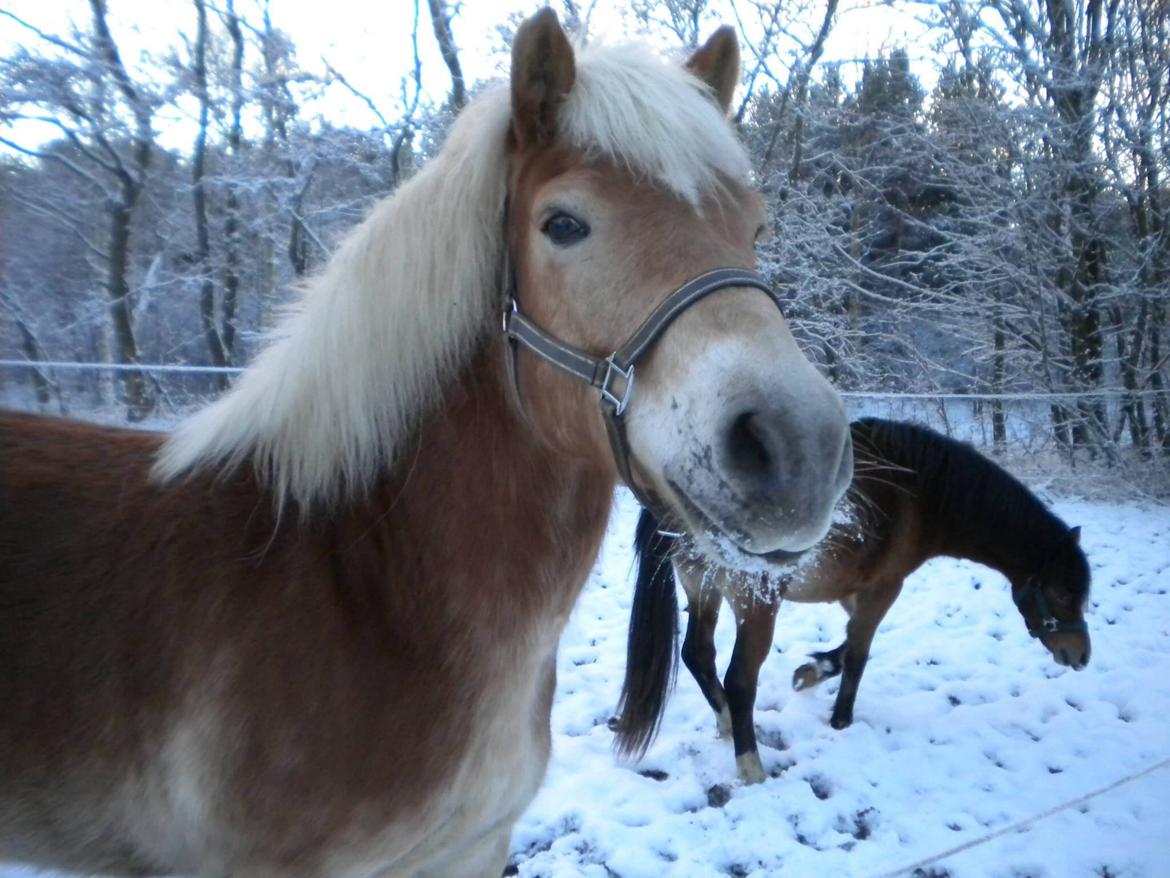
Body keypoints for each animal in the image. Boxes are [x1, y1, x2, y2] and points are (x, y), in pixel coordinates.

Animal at [617, 416, 1090, 782]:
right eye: (1063, 592)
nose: (1081, 655)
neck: (922, 492)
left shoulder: (854, 589)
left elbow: (846, 646)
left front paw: (813, 672)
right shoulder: (885, 588)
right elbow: (860, 653)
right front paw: (841, 718)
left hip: (703, 591)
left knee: (698, 655)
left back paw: (728, 724)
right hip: (756, 606)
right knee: (739, 680)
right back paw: (750, 764)